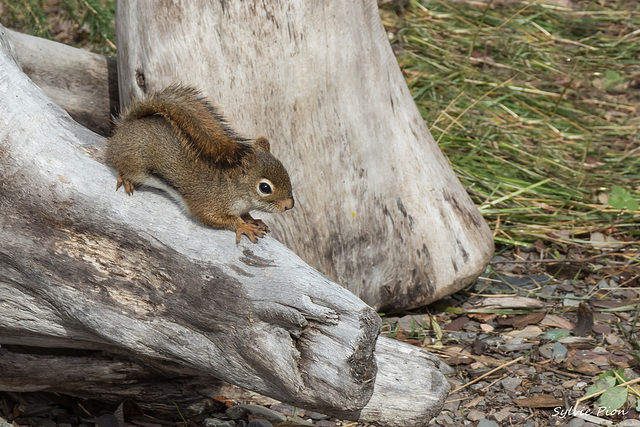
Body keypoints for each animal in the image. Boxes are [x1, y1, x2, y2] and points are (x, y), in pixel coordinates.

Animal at [106, 84, 294, 244]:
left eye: (285, 172)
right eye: (265, 188)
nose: (289, 206)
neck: (233, 188)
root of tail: (123, 128)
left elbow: (245, 214)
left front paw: (252, 220)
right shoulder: (209, 203)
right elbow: (213, 217)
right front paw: (243, 225)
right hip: (135, 162)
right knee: (119, 165)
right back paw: (126, 179)